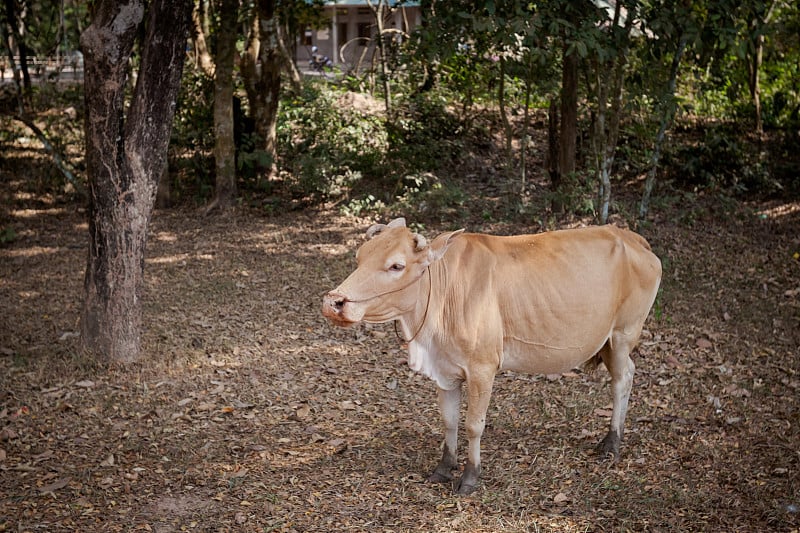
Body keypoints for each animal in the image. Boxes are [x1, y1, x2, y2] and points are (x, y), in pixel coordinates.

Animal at [320, 218, 664, 492]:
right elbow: (449, 420)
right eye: (359, 257)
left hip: (623, 333)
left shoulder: (482, 368)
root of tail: (630, 236)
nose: (334, 301)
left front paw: (470, 476)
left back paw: (612, 443)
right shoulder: (446, 370)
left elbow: (474, 424)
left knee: (624, 378)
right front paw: (444, 467)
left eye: (396, 265)